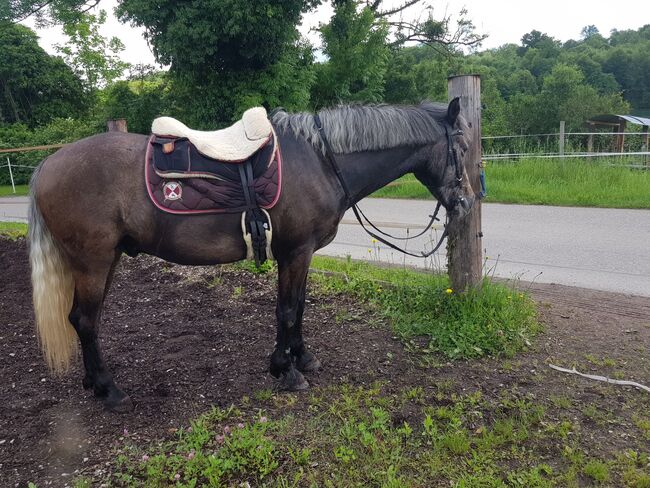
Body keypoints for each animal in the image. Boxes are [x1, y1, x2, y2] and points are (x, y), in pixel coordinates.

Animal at [27, 99, 474, 412]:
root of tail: (47, 164)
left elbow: (299, 306)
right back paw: (110, 391)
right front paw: (285, 370)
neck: (320, 162)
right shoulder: (296, 252)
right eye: (464, 146)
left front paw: (301, 358)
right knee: (86, 321)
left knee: (80, 320)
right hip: (94, 262)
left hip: (104, 260)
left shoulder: (298, 254)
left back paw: (93, 383)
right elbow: (288, 310)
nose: (468, 202)